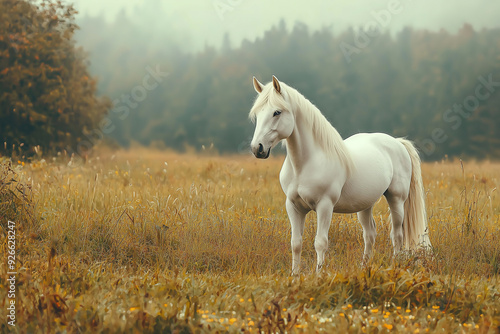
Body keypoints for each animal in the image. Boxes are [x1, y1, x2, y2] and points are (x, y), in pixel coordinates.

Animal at [252, 75, 432, 274]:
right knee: (370, 234)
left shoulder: (324, 206)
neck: (305, 164)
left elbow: (320, 243)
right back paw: (364, 267)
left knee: (397, 234)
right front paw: (295, 276)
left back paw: (395, 266)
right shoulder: (293, 206)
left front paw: (319, 275)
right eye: (257, 113)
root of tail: (398, 143)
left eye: (277, 112)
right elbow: (296, 243)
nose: (257, 148)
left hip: (396, 199)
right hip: (365, 205)